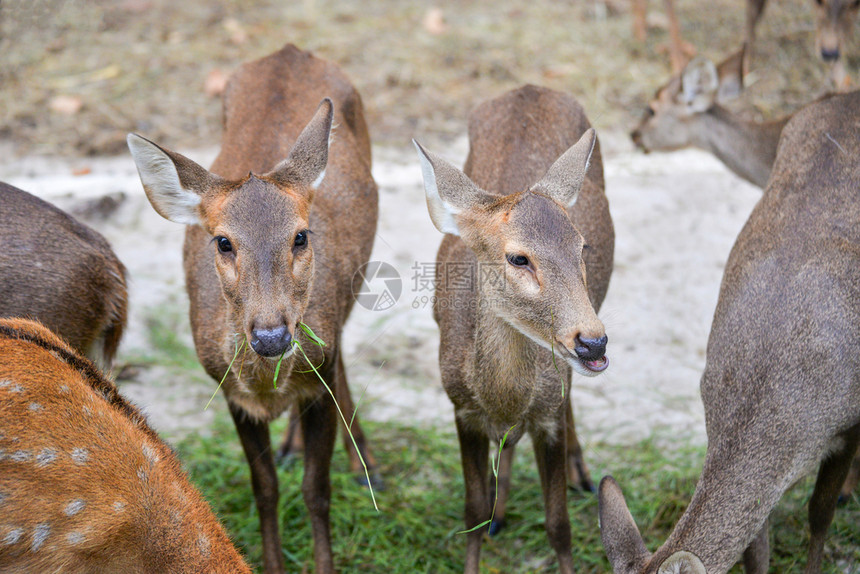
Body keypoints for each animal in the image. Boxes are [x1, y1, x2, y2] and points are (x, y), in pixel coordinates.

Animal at [128, 45, 380, 574]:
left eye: (300, 235)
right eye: (223, 241)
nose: (271, 336)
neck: (268, 387)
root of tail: (290, 50)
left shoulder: (318, 381)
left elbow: (317, 491)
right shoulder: (230, 393)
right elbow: (264, 490)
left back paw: (364, 464)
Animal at [414, 84, 616, 574]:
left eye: (583, 246)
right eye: (518, 257)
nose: (593, 341)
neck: (501, 396)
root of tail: (530, 87)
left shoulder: (548, 415)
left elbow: (559, 525)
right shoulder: (460, 407)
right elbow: (471, 511)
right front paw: (485, 521)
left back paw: (580, 473)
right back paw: (500, 513)